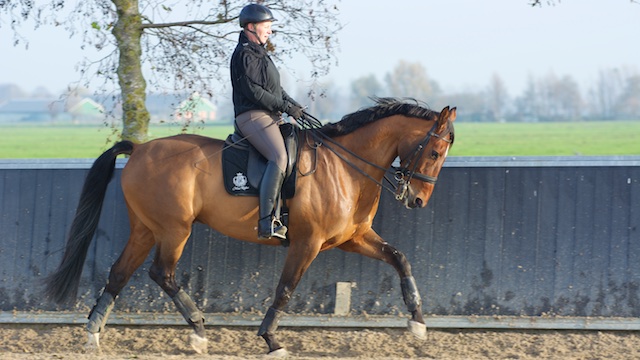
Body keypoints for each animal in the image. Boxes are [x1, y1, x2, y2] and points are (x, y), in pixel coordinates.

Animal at [45, 97, 456, 356]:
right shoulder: (307, 243)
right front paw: (272, 341)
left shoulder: (353, 238)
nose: (416, 200)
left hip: (146, 228)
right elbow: (285, 289)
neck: (345, 167)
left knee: (120, 273)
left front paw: (418, 324)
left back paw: (94, 336)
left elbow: (400, 258)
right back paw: (198, 330)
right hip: (174, 229)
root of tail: (141, 149)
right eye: (435, 152)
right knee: (162, 273)